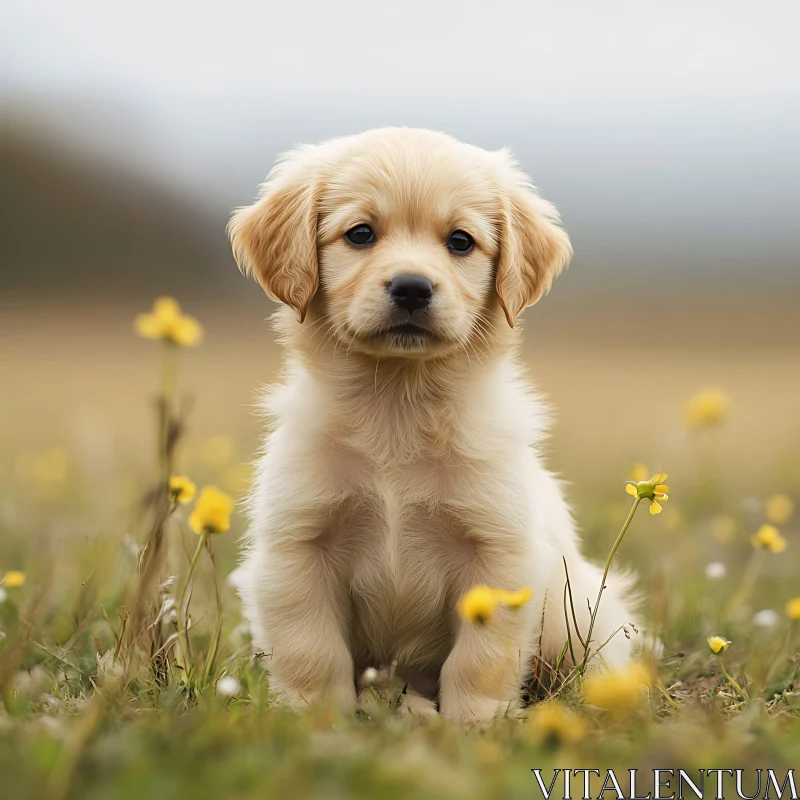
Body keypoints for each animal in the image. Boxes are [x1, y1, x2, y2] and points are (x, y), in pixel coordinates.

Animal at [228, 128, 640, 720]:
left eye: (461, 242)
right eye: (360, 233)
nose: (412, 287)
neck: (398, 407)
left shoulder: (498, 551)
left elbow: (479, 658)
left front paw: (477, 723)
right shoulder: (297, 546)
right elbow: (311, 650)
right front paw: (315, 719)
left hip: (583, 614)